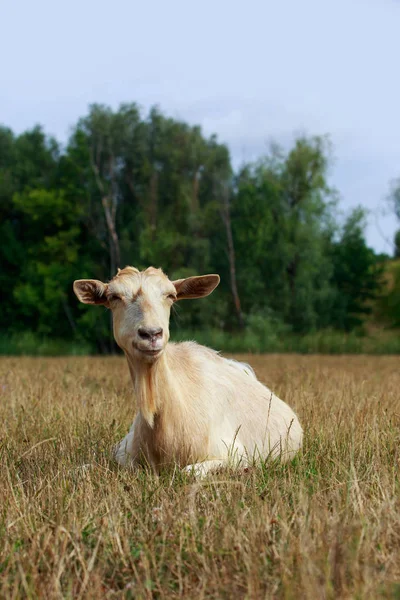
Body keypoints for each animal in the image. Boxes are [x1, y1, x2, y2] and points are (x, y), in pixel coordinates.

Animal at [73, 268, 302, 478]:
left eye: (170, 295)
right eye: (114, 297)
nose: (151, 334)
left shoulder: (236, 454)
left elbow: (188, 473)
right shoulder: (122, 452)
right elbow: (81, 470)